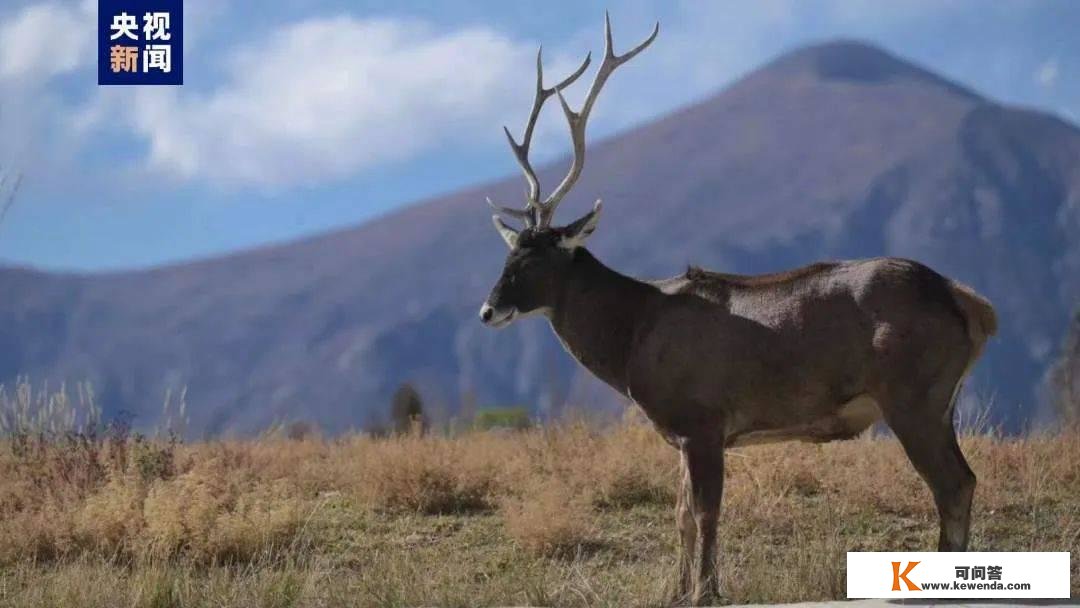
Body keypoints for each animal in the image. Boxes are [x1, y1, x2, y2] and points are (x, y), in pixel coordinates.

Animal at [477, 13, 997, 604]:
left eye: (534, 257)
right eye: (508, 252)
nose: (487, 311)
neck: (633, 336)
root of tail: (973, 305)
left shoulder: (703, 419)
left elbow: (706, 513)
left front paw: (706, 591)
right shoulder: (682, 434)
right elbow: (680, 514)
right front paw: (677, 591)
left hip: (914, 394)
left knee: (953, 484)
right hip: (940, 400)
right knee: (964, 480)